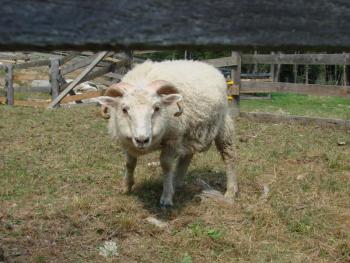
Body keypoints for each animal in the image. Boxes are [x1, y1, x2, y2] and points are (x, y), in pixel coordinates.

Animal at [95, 60, 238, 208]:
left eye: (157, 108)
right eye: (124, 109)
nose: (142, 140)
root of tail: (208, 66)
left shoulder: (173, 139)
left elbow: (166, 165)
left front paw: (167, 196)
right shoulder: (128, 142)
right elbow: (129, 163)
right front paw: (126, 187)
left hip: (223, 125)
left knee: (229, 156)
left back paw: (230, 191)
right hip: (190, 132)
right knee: (187, 156)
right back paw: (177, 182)